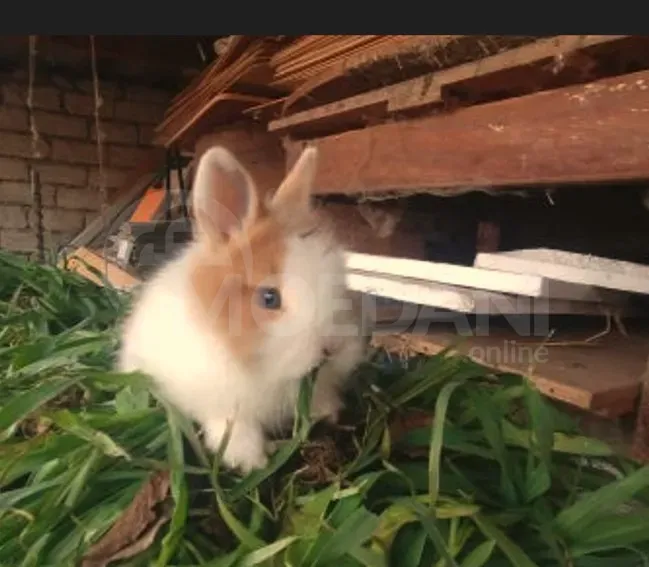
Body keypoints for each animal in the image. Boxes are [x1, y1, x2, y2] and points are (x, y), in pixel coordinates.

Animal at [117, 144, 370, 473]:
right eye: (269, 298)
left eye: (340, 283)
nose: (333, 348)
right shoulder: (222, 403)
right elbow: (234, 429)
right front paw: (250, 462)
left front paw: (327, 413)